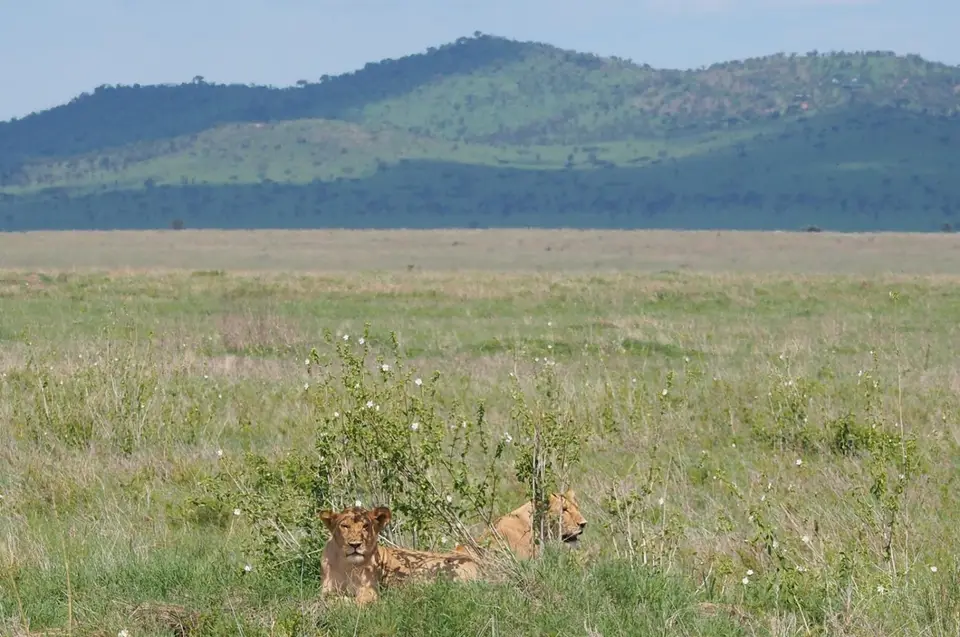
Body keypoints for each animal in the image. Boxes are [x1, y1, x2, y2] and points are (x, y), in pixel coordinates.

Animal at [319, 505, 481, 605]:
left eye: (365, 526)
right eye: (345, 526)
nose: (355, 545)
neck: (347, 565)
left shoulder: (370, 589)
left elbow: (360, 600)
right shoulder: (326, 589)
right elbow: (327, 598)